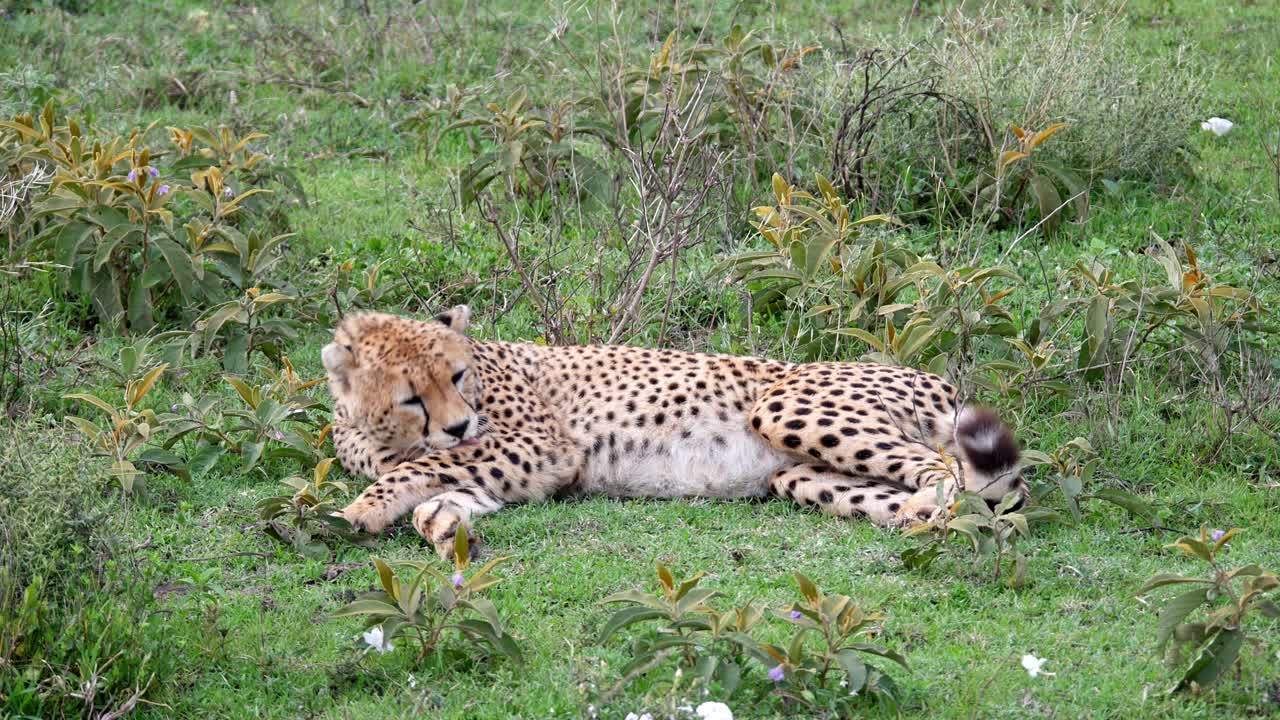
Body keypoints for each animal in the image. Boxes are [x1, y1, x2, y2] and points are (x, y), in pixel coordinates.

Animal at [324, 307, 1026, 558]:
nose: (461, 422)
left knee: (951, 472)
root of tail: (940, 379)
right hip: (803, 474)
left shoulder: (537, 449)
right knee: (952, 497)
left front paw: (356, 512)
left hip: (785, 407)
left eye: (458, 375)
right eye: (412, 395)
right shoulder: (502, 467)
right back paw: (923, 519)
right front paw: (445, 528)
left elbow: (416, 469)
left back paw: (940, 510)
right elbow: (435, 493)